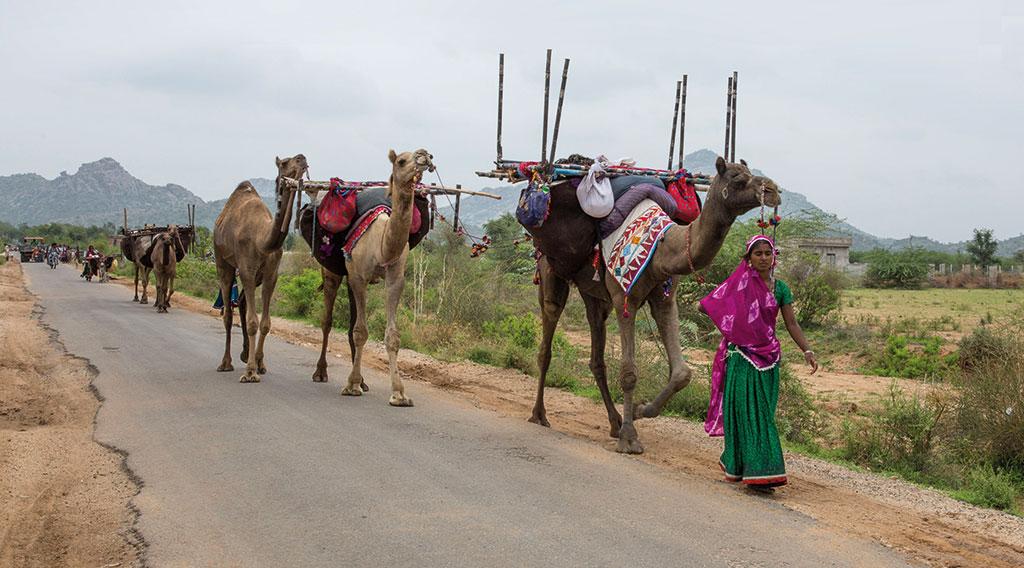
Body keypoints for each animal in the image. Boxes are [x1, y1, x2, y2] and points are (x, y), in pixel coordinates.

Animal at [209, 153, 301, 382]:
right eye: (285, 162)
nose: (302, 158)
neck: (262, 239)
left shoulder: (271, 275)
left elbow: (265, 323)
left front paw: (259, 364)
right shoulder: (247, 269)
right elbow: (253, 321)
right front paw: (250, 372)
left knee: (241, 302)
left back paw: (244, 354)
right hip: (223, 263)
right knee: (228, 314)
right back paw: (226, 363)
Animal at [305, 146, 430, 405]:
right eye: (401, 160)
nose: (424, 155)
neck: (381, 244)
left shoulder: (395, 279)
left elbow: (391, 336)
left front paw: (399, 393)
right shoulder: (359, 277)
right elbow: (361, 331)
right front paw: (351, 385)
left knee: (352, 321)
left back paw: (362, 380)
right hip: (333, 273)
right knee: (327, 320)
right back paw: (321, 372)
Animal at [524, 155, 778, 454]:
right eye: (738, 177)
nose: (773, 190)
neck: (662, 249)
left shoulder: (665, 299)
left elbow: (682, 373)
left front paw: (639, 410)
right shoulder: (625, 298)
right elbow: (629, 372)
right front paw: (629, 438)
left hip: (594, 293)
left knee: (597, 352)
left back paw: (614, 422)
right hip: (551, 270)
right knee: (547, 338)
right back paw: (539, 415)